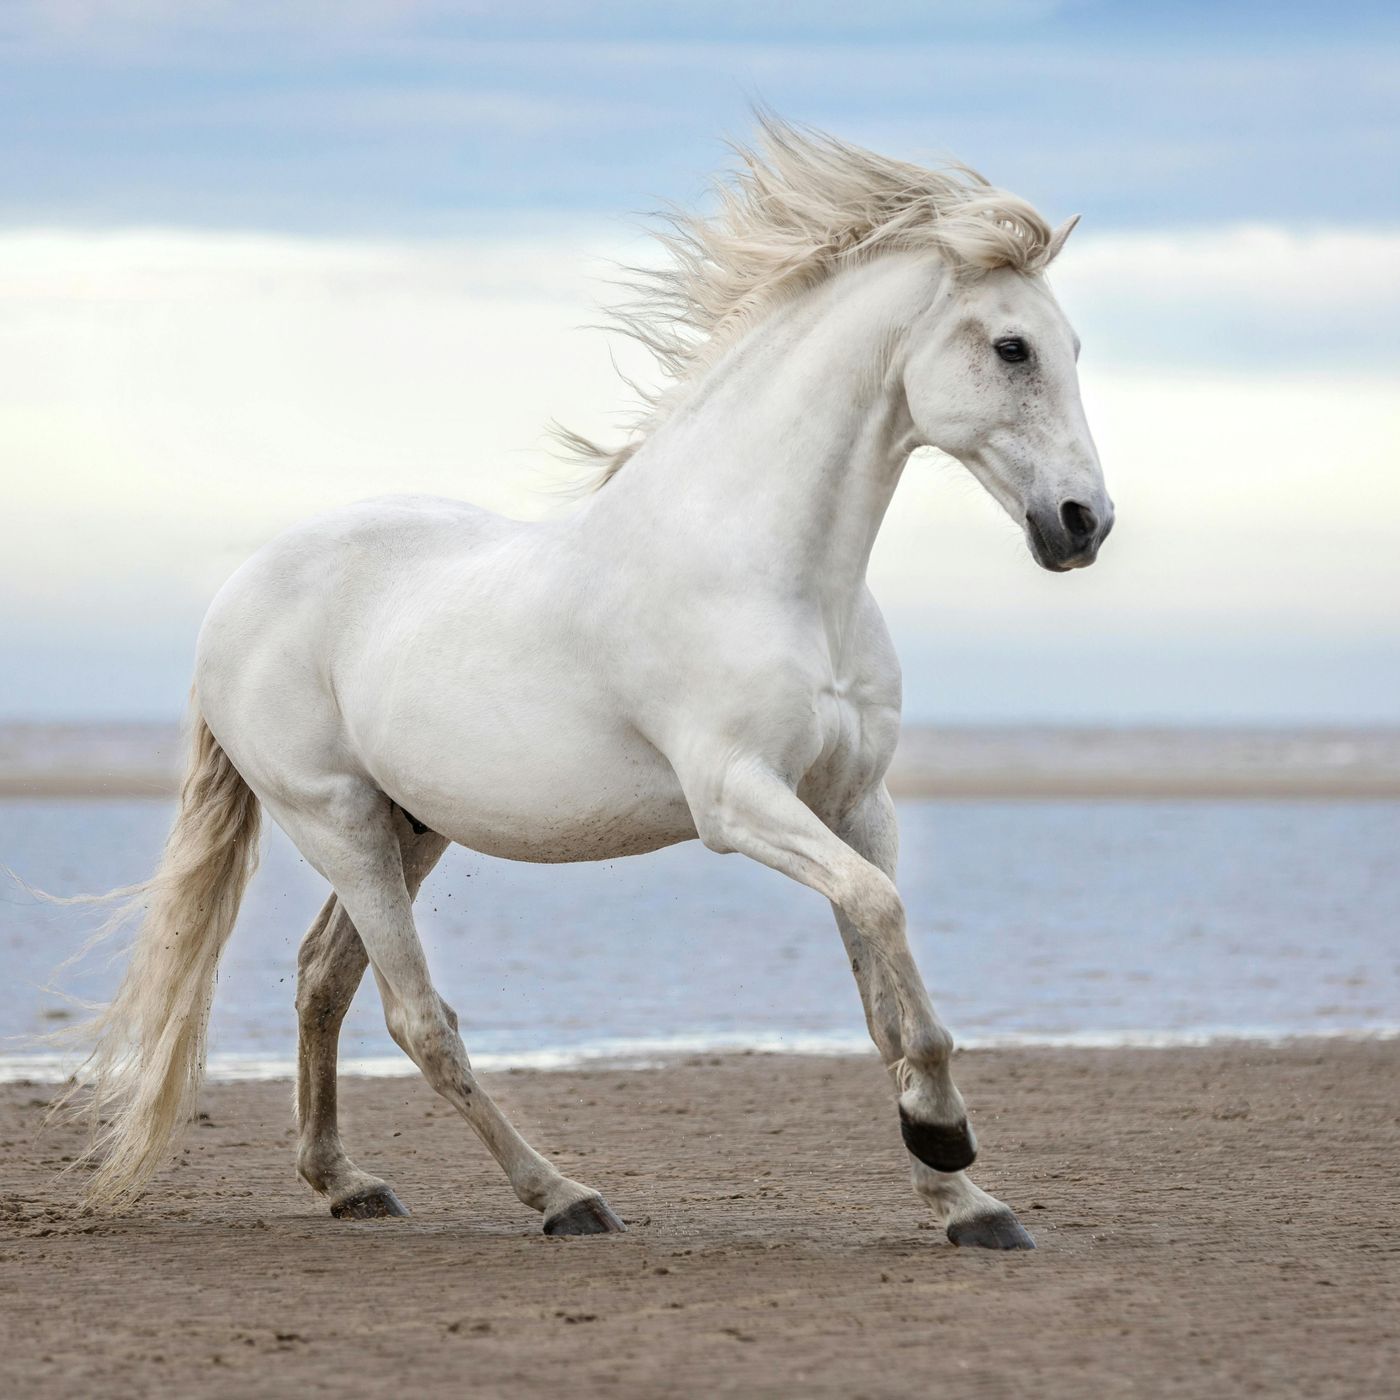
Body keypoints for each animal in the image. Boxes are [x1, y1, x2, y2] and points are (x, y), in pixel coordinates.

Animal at [57, 116, 1112, 1248]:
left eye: (1071, 348)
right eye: (1011, 348)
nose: (1082, 523)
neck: (775, 575)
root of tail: (237, 594)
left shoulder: (855, 804)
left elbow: (883, 982)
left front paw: (967, 1202)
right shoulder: (738, 800)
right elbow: (882, 917)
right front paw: (944, 1137)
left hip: (407, 826)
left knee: (321, 981)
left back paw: (347, 1182)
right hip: (334, 819)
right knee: (417, 1017)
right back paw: (562, 1195)